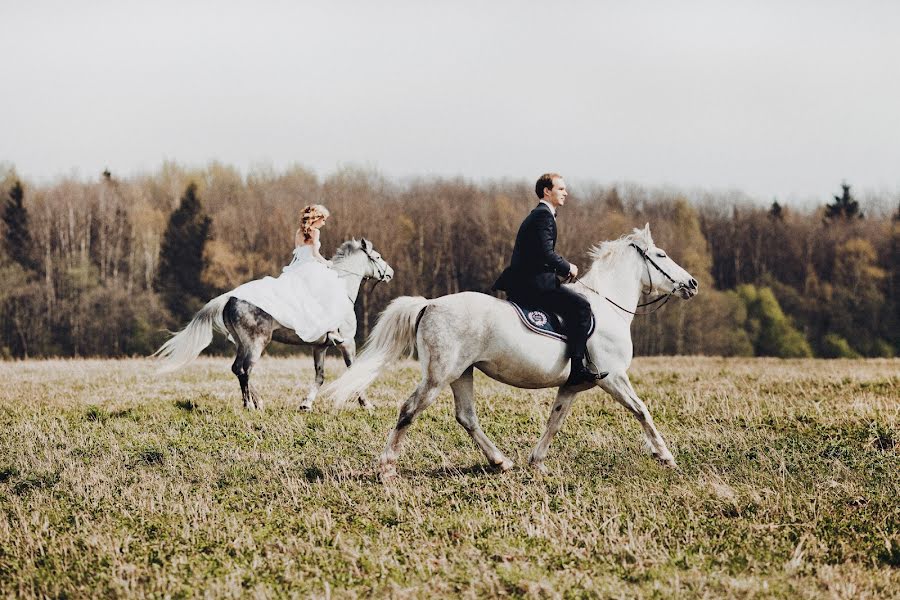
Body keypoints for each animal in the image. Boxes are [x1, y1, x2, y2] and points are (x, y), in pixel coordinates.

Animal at [154, 238, 390, 408]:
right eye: (377, 256)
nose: (390, 272)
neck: (339, 288)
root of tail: (230, 297)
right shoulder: (347, 342)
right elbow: (353, 372)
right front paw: (366, 404)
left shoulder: (319, 346)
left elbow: (319, 376)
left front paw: (306, 404)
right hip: (256, 343)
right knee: (246, 370)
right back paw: (251, 405)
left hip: (242, 343)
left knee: (237, 369)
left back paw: (256, 402)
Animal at [326, 223, 700, 480]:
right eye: (662, 256)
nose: (692, 284)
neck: (607, 306)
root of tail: (429, 304)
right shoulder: (613, 378)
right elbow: (642, 411)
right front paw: (666, 456)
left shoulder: (573, 385)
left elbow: (555, 420)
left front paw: (537, 462)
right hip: (438, 376)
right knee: (409, 410)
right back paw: (386, 467)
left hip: (461, 373)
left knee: (466, 417)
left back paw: (500, 461)